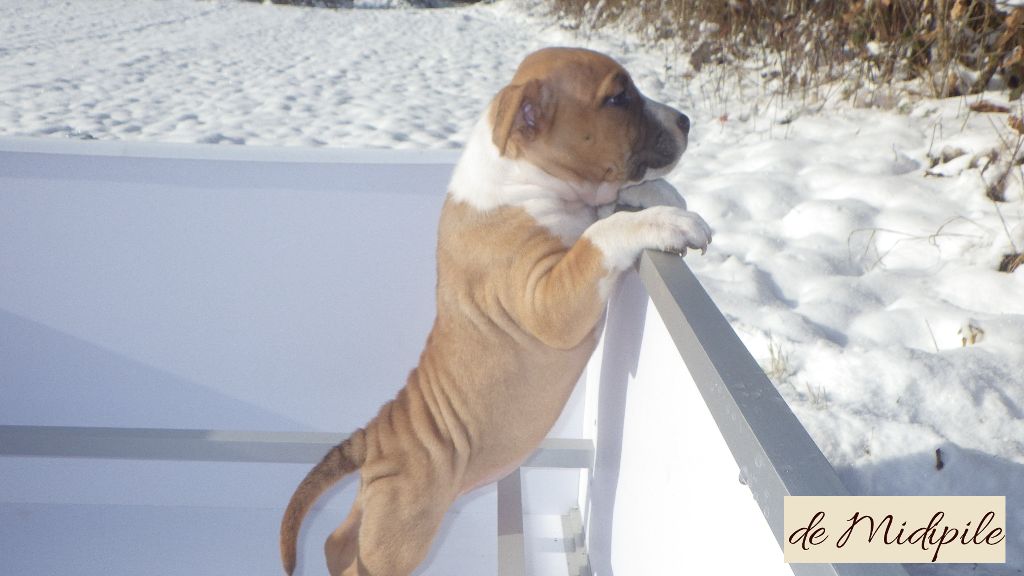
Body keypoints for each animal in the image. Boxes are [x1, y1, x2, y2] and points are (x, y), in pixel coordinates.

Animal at [280, 46, 711, 576]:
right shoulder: (547, 298)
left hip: (376, 507)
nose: (685, 121)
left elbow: (609, 208)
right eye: (616, 97)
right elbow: (601, 234)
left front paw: (660, 196)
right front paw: (666, 221)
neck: (525, 178)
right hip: (401, 531)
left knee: (337, 541)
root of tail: (375, 434)